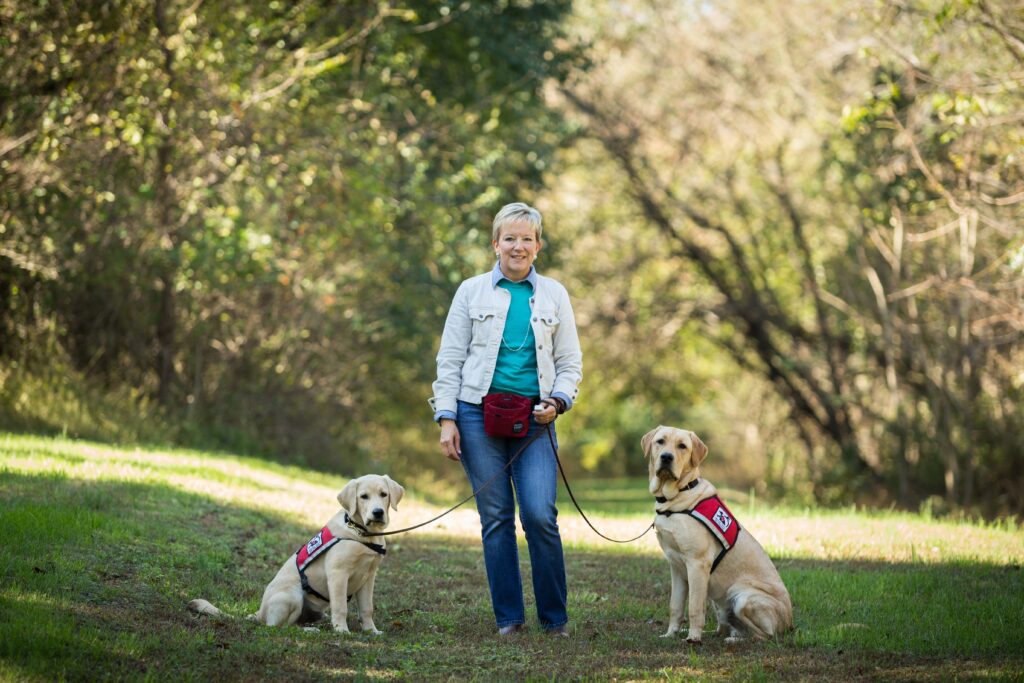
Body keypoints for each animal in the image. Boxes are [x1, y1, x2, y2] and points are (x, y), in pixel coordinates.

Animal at [189, 475, 403, 634]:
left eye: (384, 494)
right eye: (363, 496)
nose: (378, 512)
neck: (363, 534)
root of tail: (260, 613)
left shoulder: (369, 577)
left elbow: (367, 608)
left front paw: (371, 631)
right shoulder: (338, 574)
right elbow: (341, 606)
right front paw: (342, 630)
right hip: (292, 594)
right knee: (279, 627)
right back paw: (310, 631)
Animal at [643, 428, 794, 647]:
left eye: (682, 446)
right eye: (660, 442)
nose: (666, 457)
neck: (676, 497)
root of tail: (790, 623)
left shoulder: (697, 564)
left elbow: (694, 607)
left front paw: (693, 638)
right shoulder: (676, 567)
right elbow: (675, 606)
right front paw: (671, 634)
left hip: (742, 597)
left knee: (765, 635)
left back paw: (734, 640)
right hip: (720, 603)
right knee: (724, 627)